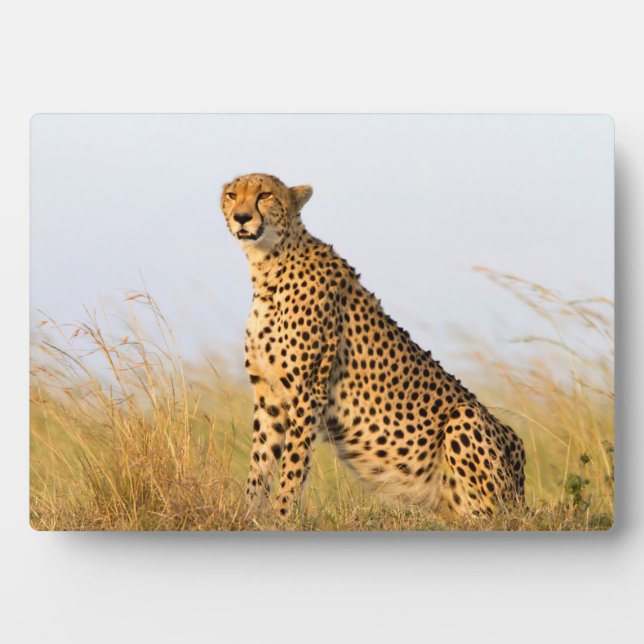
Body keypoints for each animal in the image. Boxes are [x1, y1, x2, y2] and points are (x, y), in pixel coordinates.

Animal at [220, 172, 526, 518]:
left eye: (265, 195)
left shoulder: (307, 392)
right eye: (232, 195)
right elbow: (260, 462)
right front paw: (247, 514)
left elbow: (293, 466)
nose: (241, 217)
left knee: (491, 515)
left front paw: (283, 517)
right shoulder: (268, 394)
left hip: (466, 420)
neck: (269, 265)